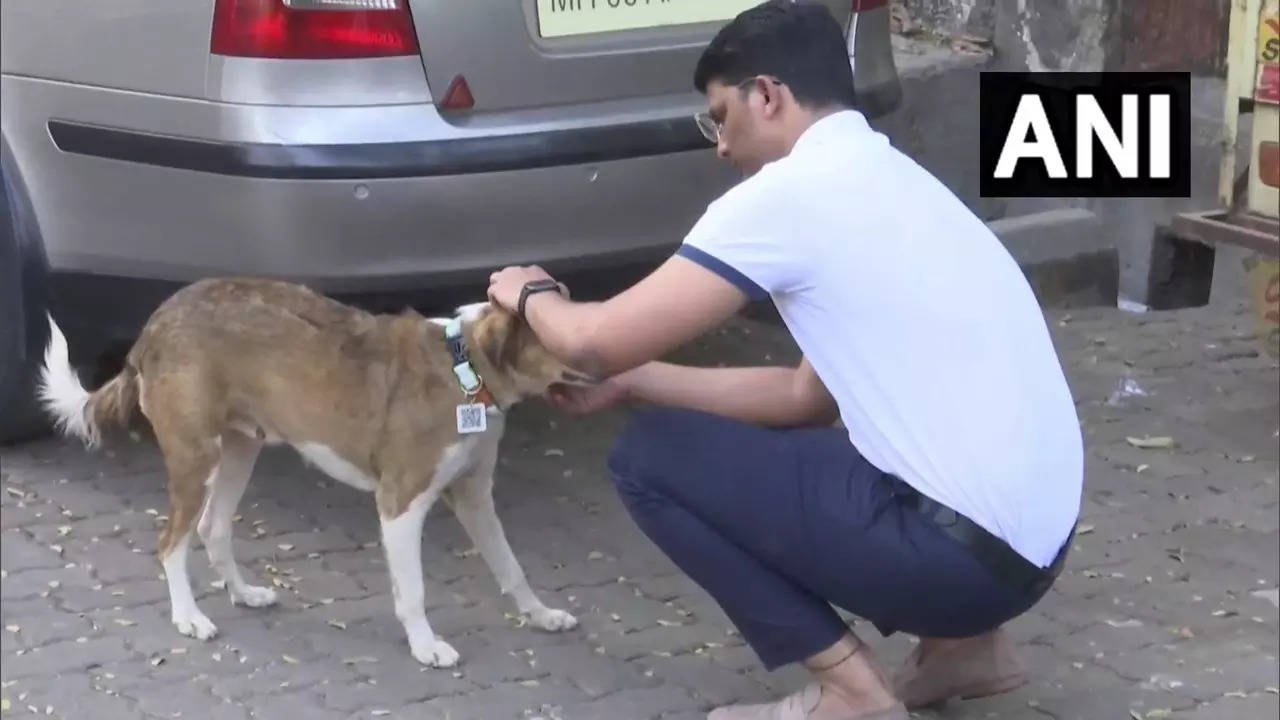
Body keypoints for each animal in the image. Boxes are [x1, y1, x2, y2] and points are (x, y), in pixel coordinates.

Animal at [40, 278, 588, 666]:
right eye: (557, 333)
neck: (464, 366)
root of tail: (152, 326)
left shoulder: (474, 495)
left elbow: (511, 567)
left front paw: (541, 615)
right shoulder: (400, 503)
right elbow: (412, 591)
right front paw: (425, 645)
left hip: (240, 450)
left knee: (212, 528)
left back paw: (243, 594)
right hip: (196, 458)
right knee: (170, 543)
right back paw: (189, 617)